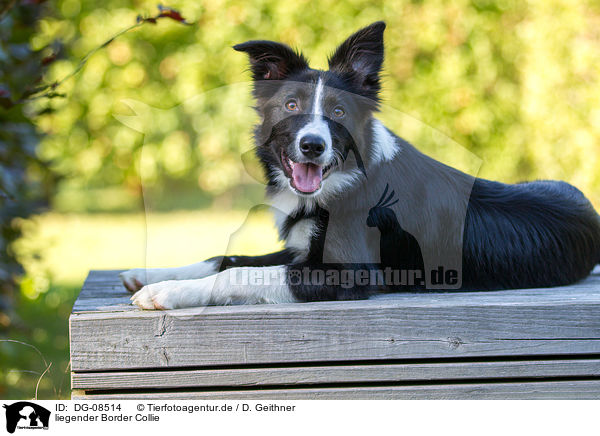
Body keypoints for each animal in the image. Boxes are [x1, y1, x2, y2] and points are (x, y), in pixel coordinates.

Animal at [122, 21, 600, 310]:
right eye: (291, 105)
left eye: (338, 112)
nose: (312, 146)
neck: (344, 183)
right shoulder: (301, 248)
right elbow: (227, 258)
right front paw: (150, 275)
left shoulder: (348, 272)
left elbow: (239, 274)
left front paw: (166, 292)